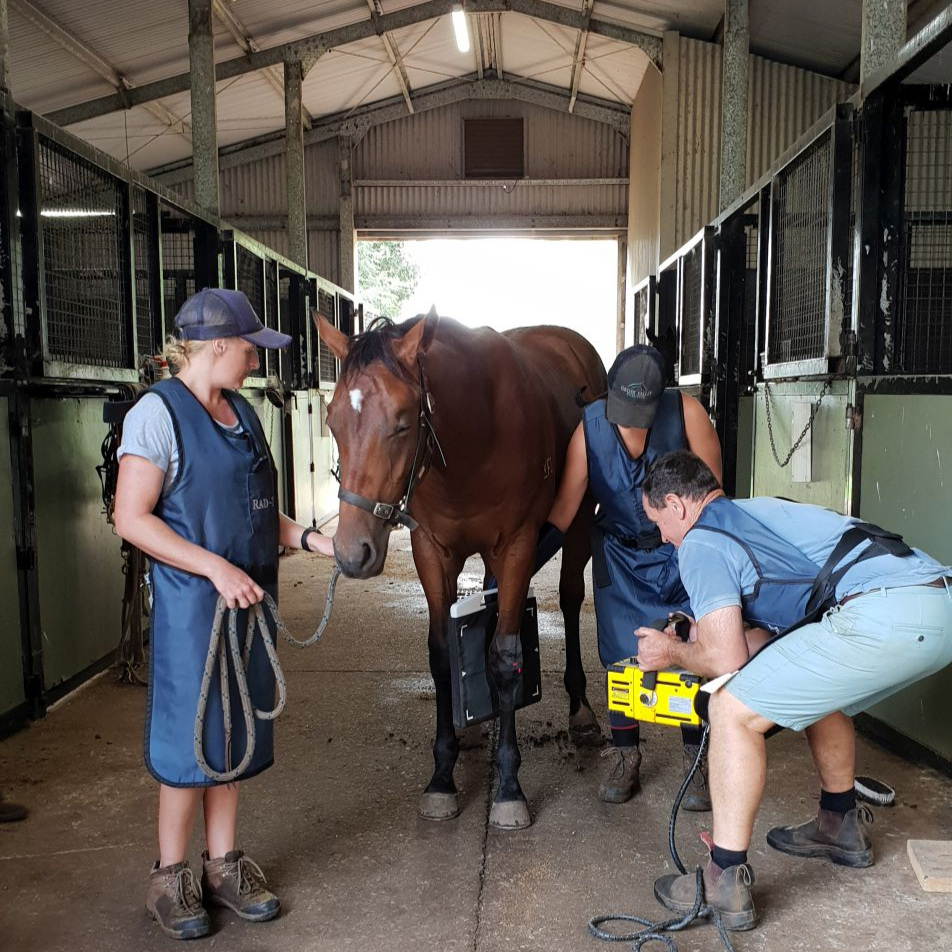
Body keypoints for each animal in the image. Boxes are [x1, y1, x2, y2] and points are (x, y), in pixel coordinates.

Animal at [316, 310, 608, 824]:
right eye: (333, 421)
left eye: (402, 422)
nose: (352, 552)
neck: (479, 432)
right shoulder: (432, 551)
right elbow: (441, 655)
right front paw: (442, 775)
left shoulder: (516, 547)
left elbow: (507, 656)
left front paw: (508, 787)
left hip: (576, 521)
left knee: (571, 597)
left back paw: (581, 709)